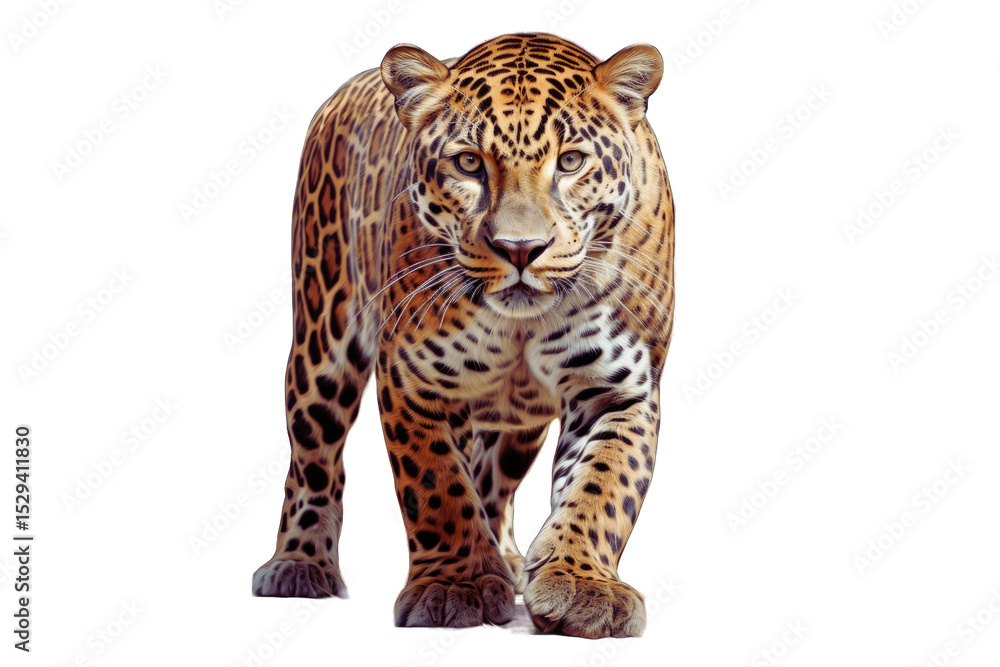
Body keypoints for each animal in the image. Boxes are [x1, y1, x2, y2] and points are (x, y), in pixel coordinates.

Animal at [251, 32, 674, 639]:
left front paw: (581, 584)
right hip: (321, 341)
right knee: (314, 458)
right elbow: (439, 487)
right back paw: (298, 566)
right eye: (469, 163)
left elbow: (602, 488)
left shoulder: (618, 389)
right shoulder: (414, 379)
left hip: (518, 426)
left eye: (570, 162)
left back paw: (511, 561)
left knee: (494, 480)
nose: (521, 249)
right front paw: (456, 585)